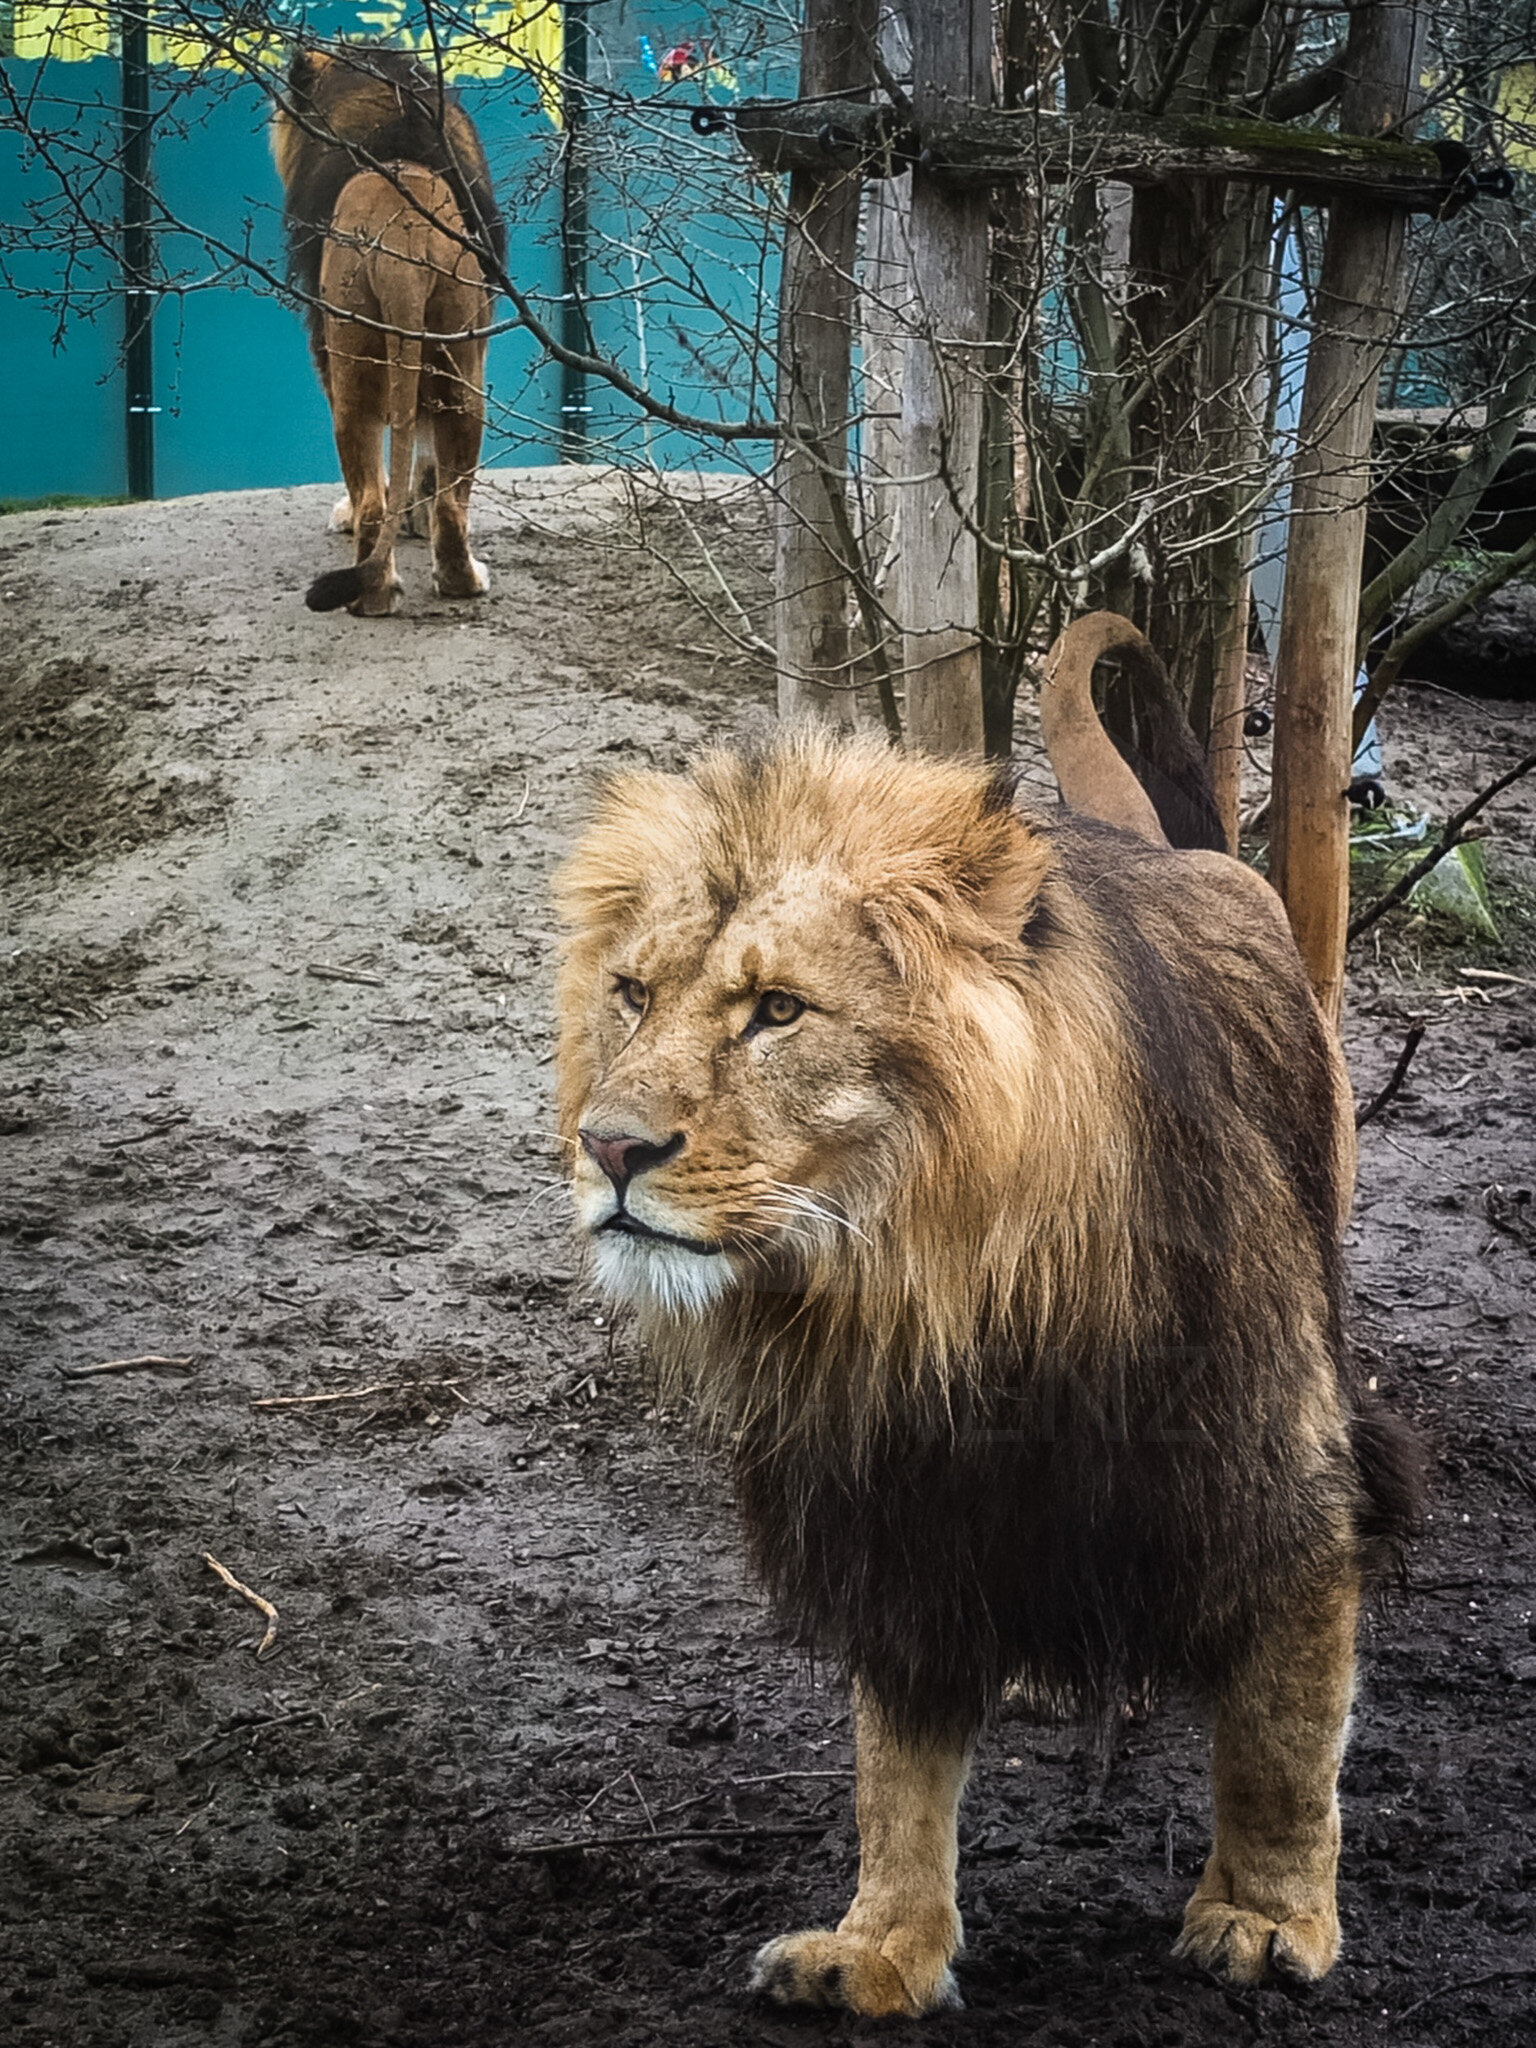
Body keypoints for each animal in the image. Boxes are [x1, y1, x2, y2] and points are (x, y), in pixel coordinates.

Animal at [268, 46, 501, 606]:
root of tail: (402, 242)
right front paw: (414, 517)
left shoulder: (322, 347)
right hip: (457, 373)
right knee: (444, 504)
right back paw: (436, 581)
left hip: (357, 370)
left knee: (377, 499)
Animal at [552, 610, 1417, 2015]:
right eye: (631, 992)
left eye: (777, 1010)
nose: (610, 1147)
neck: (937, 1292)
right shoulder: (898, 1510)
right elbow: (894, 1768)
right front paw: (881, 1946)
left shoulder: (1280, 1470)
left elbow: (1283, 1731)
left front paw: (1266, 1912)